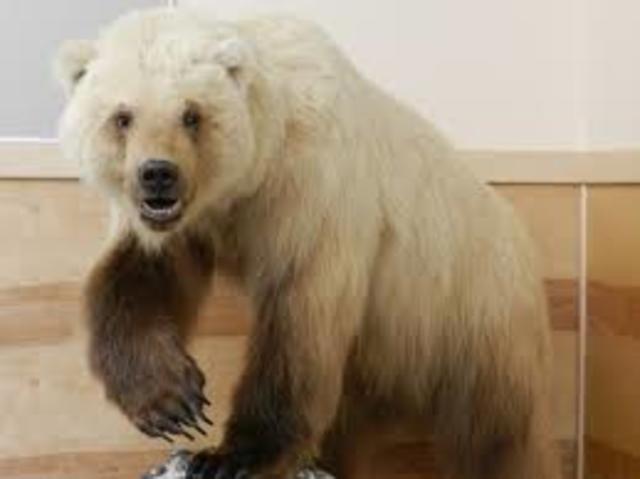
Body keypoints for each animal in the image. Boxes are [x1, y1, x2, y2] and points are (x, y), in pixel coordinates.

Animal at [55, 7, 560, 479]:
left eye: (192, 114)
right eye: (122, 116)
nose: (158, 174)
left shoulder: (310, 193)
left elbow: (299, 321)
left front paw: (227, 457)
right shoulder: (184, 225)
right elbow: (137, 277)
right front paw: (170, 402)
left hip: (472, 320)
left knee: (498, 434)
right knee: (352, 424)